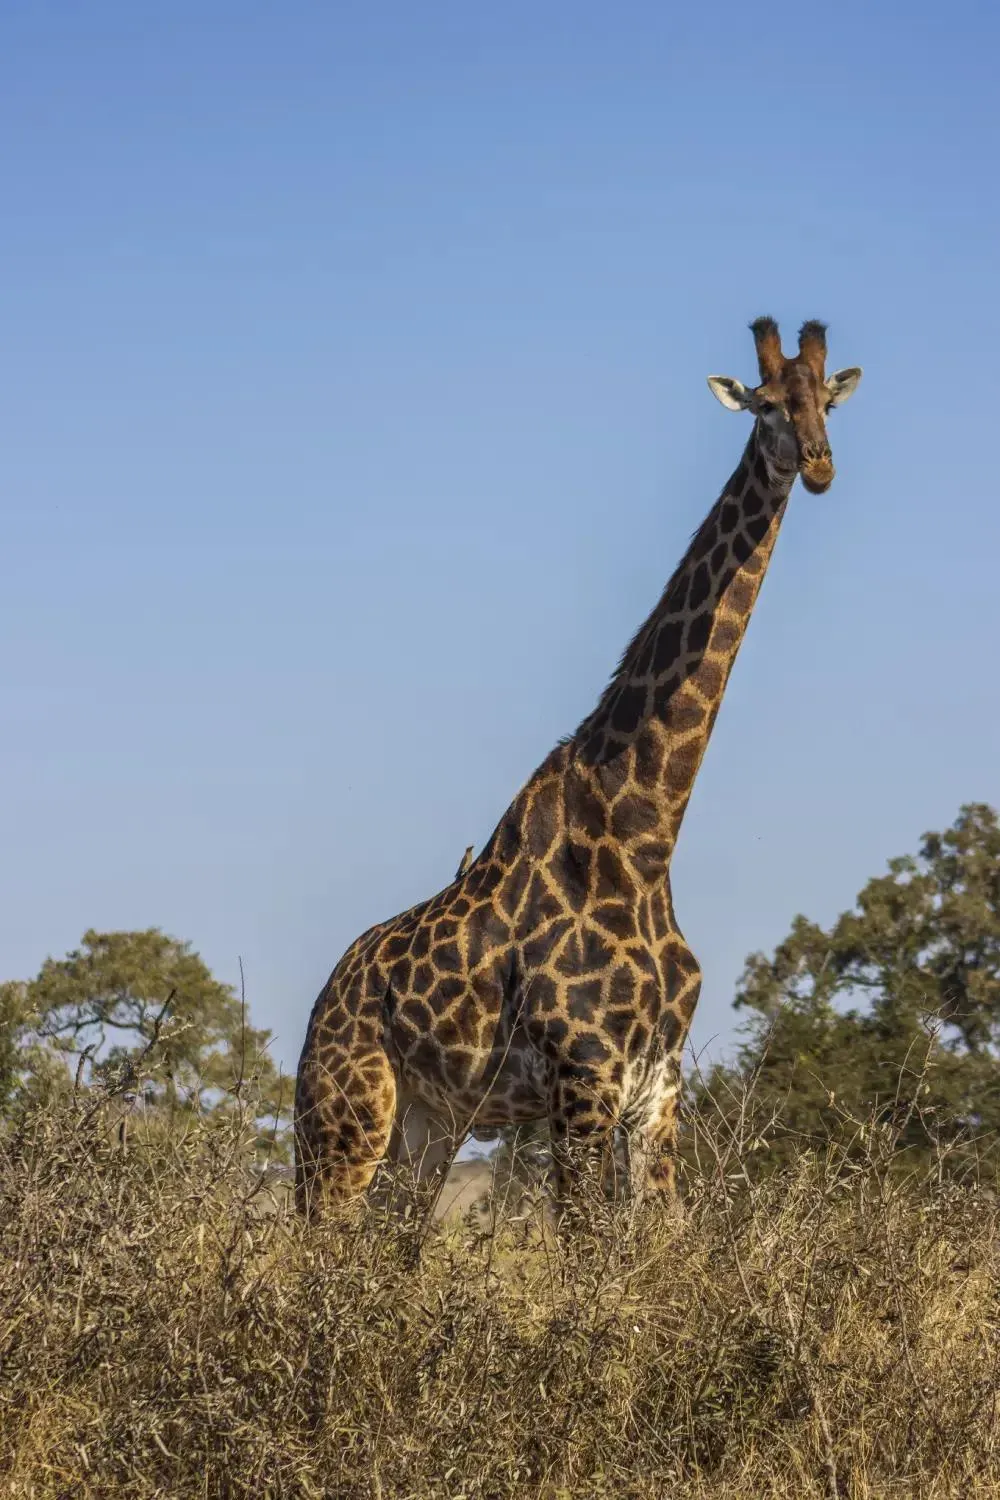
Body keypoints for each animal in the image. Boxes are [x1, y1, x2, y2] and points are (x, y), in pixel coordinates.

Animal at [295, 318, 862, 1220]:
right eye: (766, 404)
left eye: (826, 405)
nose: (816, 465)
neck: (648, 829)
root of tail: (327, 995)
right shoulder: (584, 1076)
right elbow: (587, 1239)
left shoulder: (657, 1088)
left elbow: (662, 1237)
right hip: (342, 1116)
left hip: (429, 1126)